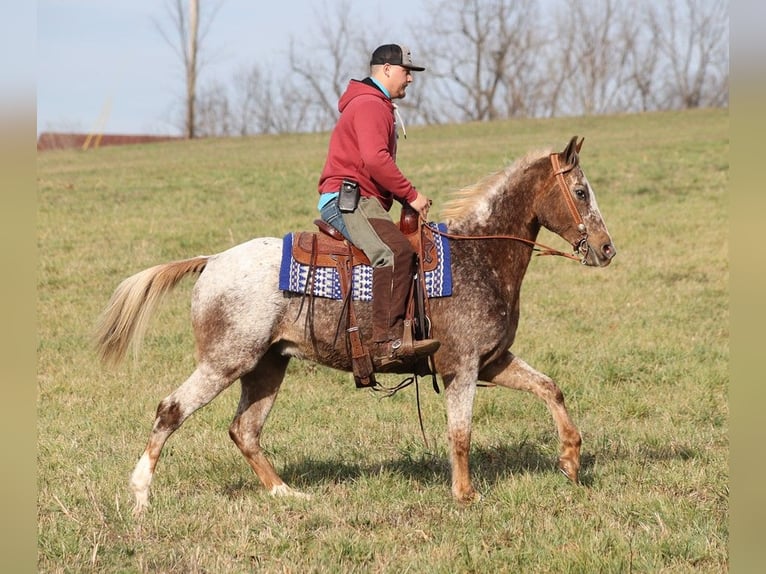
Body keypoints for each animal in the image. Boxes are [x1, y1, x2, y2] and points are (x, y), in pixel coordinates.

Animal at [94, 136, 616, 516]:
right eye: (581, 192)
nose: (607, 249)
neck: (479, 256)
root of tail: (213, 260)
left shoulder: (492, 361)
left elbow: (550, 388)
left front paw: (571, 460)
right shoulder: (462, 367)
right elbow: (461, 434)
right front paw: (465, 496)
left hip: (267, 366)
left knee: (244, 430)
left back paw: (285, 493)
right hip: (225, 361)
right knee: (171, 410)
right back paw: (141, 496)